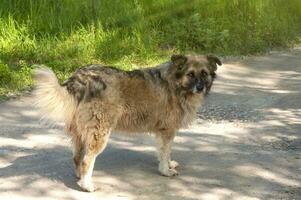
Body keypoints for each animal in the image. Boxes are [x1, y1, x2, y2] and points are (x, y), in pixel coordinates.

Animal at [34, 54, 220, 191]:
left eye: (204, 73)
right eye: (190, 74)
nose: (200, 87)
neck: (176, 83)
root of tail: (80, 78)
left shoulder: (163, 131)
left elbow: (164, 152)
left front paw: (168, 164)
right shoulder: (167, 130)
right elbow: (165, 152)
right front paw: (165, 170)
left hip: (81, 132)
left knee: (77, 157)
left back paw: (80, 177)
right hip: (100, 132)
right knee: (87, 160)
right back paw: (87, 186)